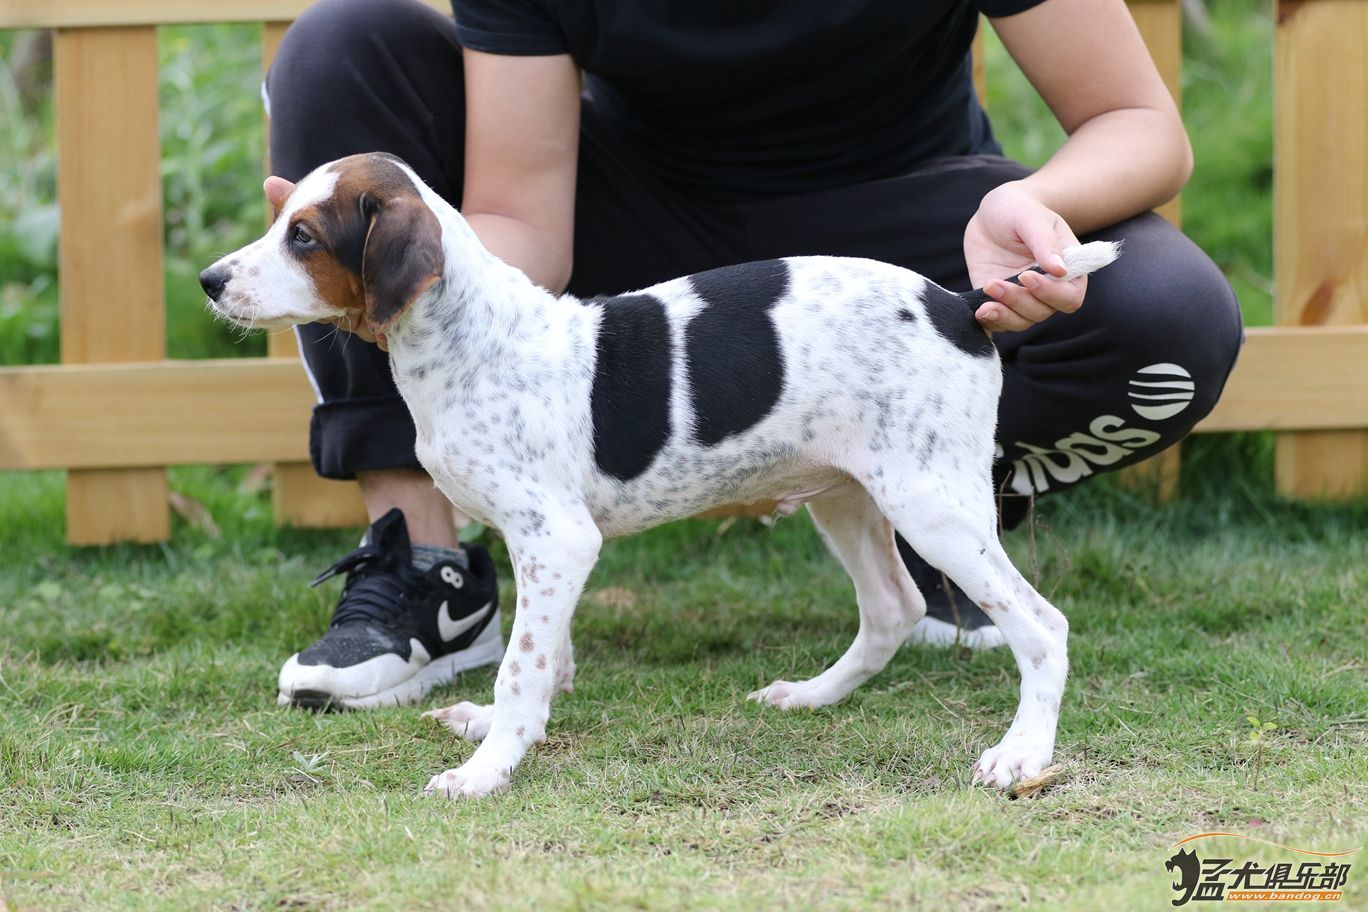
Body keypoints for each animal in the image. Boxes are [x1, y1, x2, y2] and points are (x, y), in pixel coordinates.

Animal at [205, 151, 1121, 798]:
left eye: (303, 236)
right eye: (280, 219)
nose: (212, 281)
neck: (472, 343)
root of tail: (959, 304)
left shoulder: (557, 540)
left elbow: (522, 665)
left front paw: (490, 768)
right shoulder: (550, 551)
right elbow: (547, 658)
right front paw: (505, 731)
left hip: (932, 504)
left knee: (1042, 627)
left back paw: (1021, 754)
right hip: (849, 497)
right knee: (892, 609)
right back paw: (813, 696)